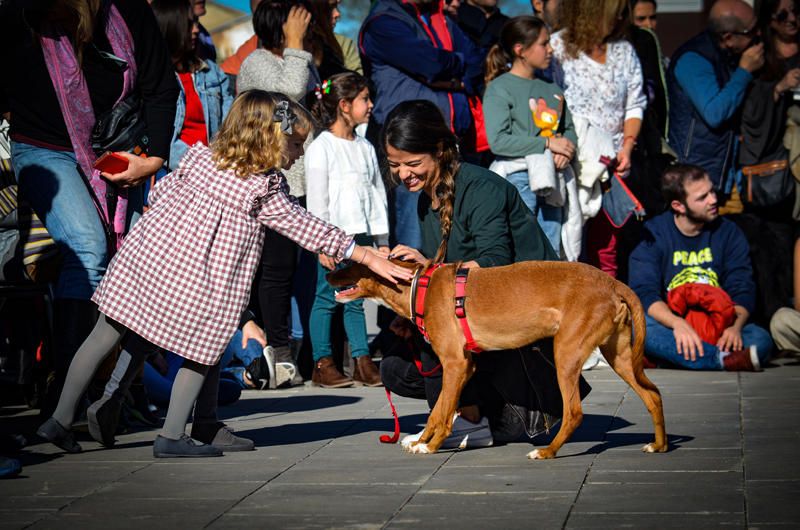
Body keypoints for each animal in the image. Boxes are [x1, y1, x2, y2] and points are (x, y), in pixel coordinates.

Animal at [326, 260, 668, 458]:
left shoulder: (454, 364)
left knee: (574, 413)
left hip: (567, 353)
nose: (327, 273)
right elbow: (439, 410)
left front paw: (431, 445)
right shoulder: (464, 365)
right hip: (618, 355)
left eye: (349, 264)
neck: (419, 286)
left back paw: (547, 451)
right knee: (653, 394)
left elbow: (441, 413)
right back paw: (659, 444)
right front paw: (421, 440)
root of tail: (613, 282)